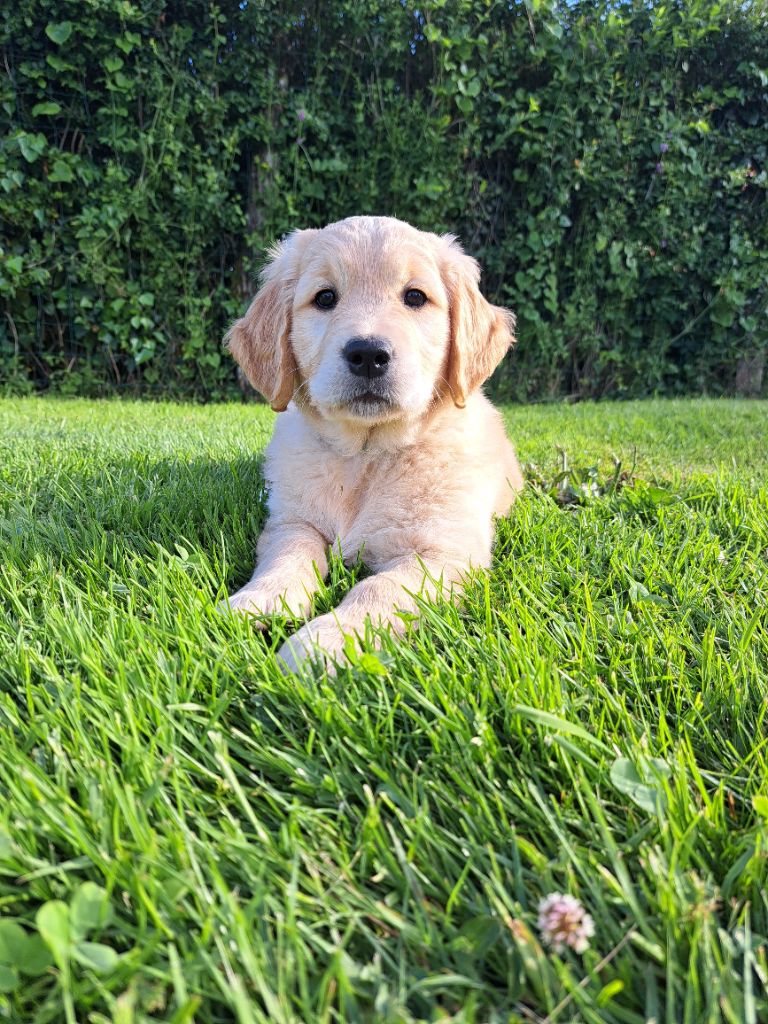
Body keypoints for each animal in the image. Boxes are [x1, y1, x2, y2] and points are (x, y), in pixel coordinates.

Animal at [223, 216, 523, 671]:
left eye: (415, 297)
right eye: (325, 298)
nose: (367, 354)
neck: (366, 456)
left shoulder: (443, 555)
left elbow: (377, 589)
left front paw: (324, 641)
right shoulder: (292, 522)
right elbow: (289, 556)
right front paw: (260, 600)